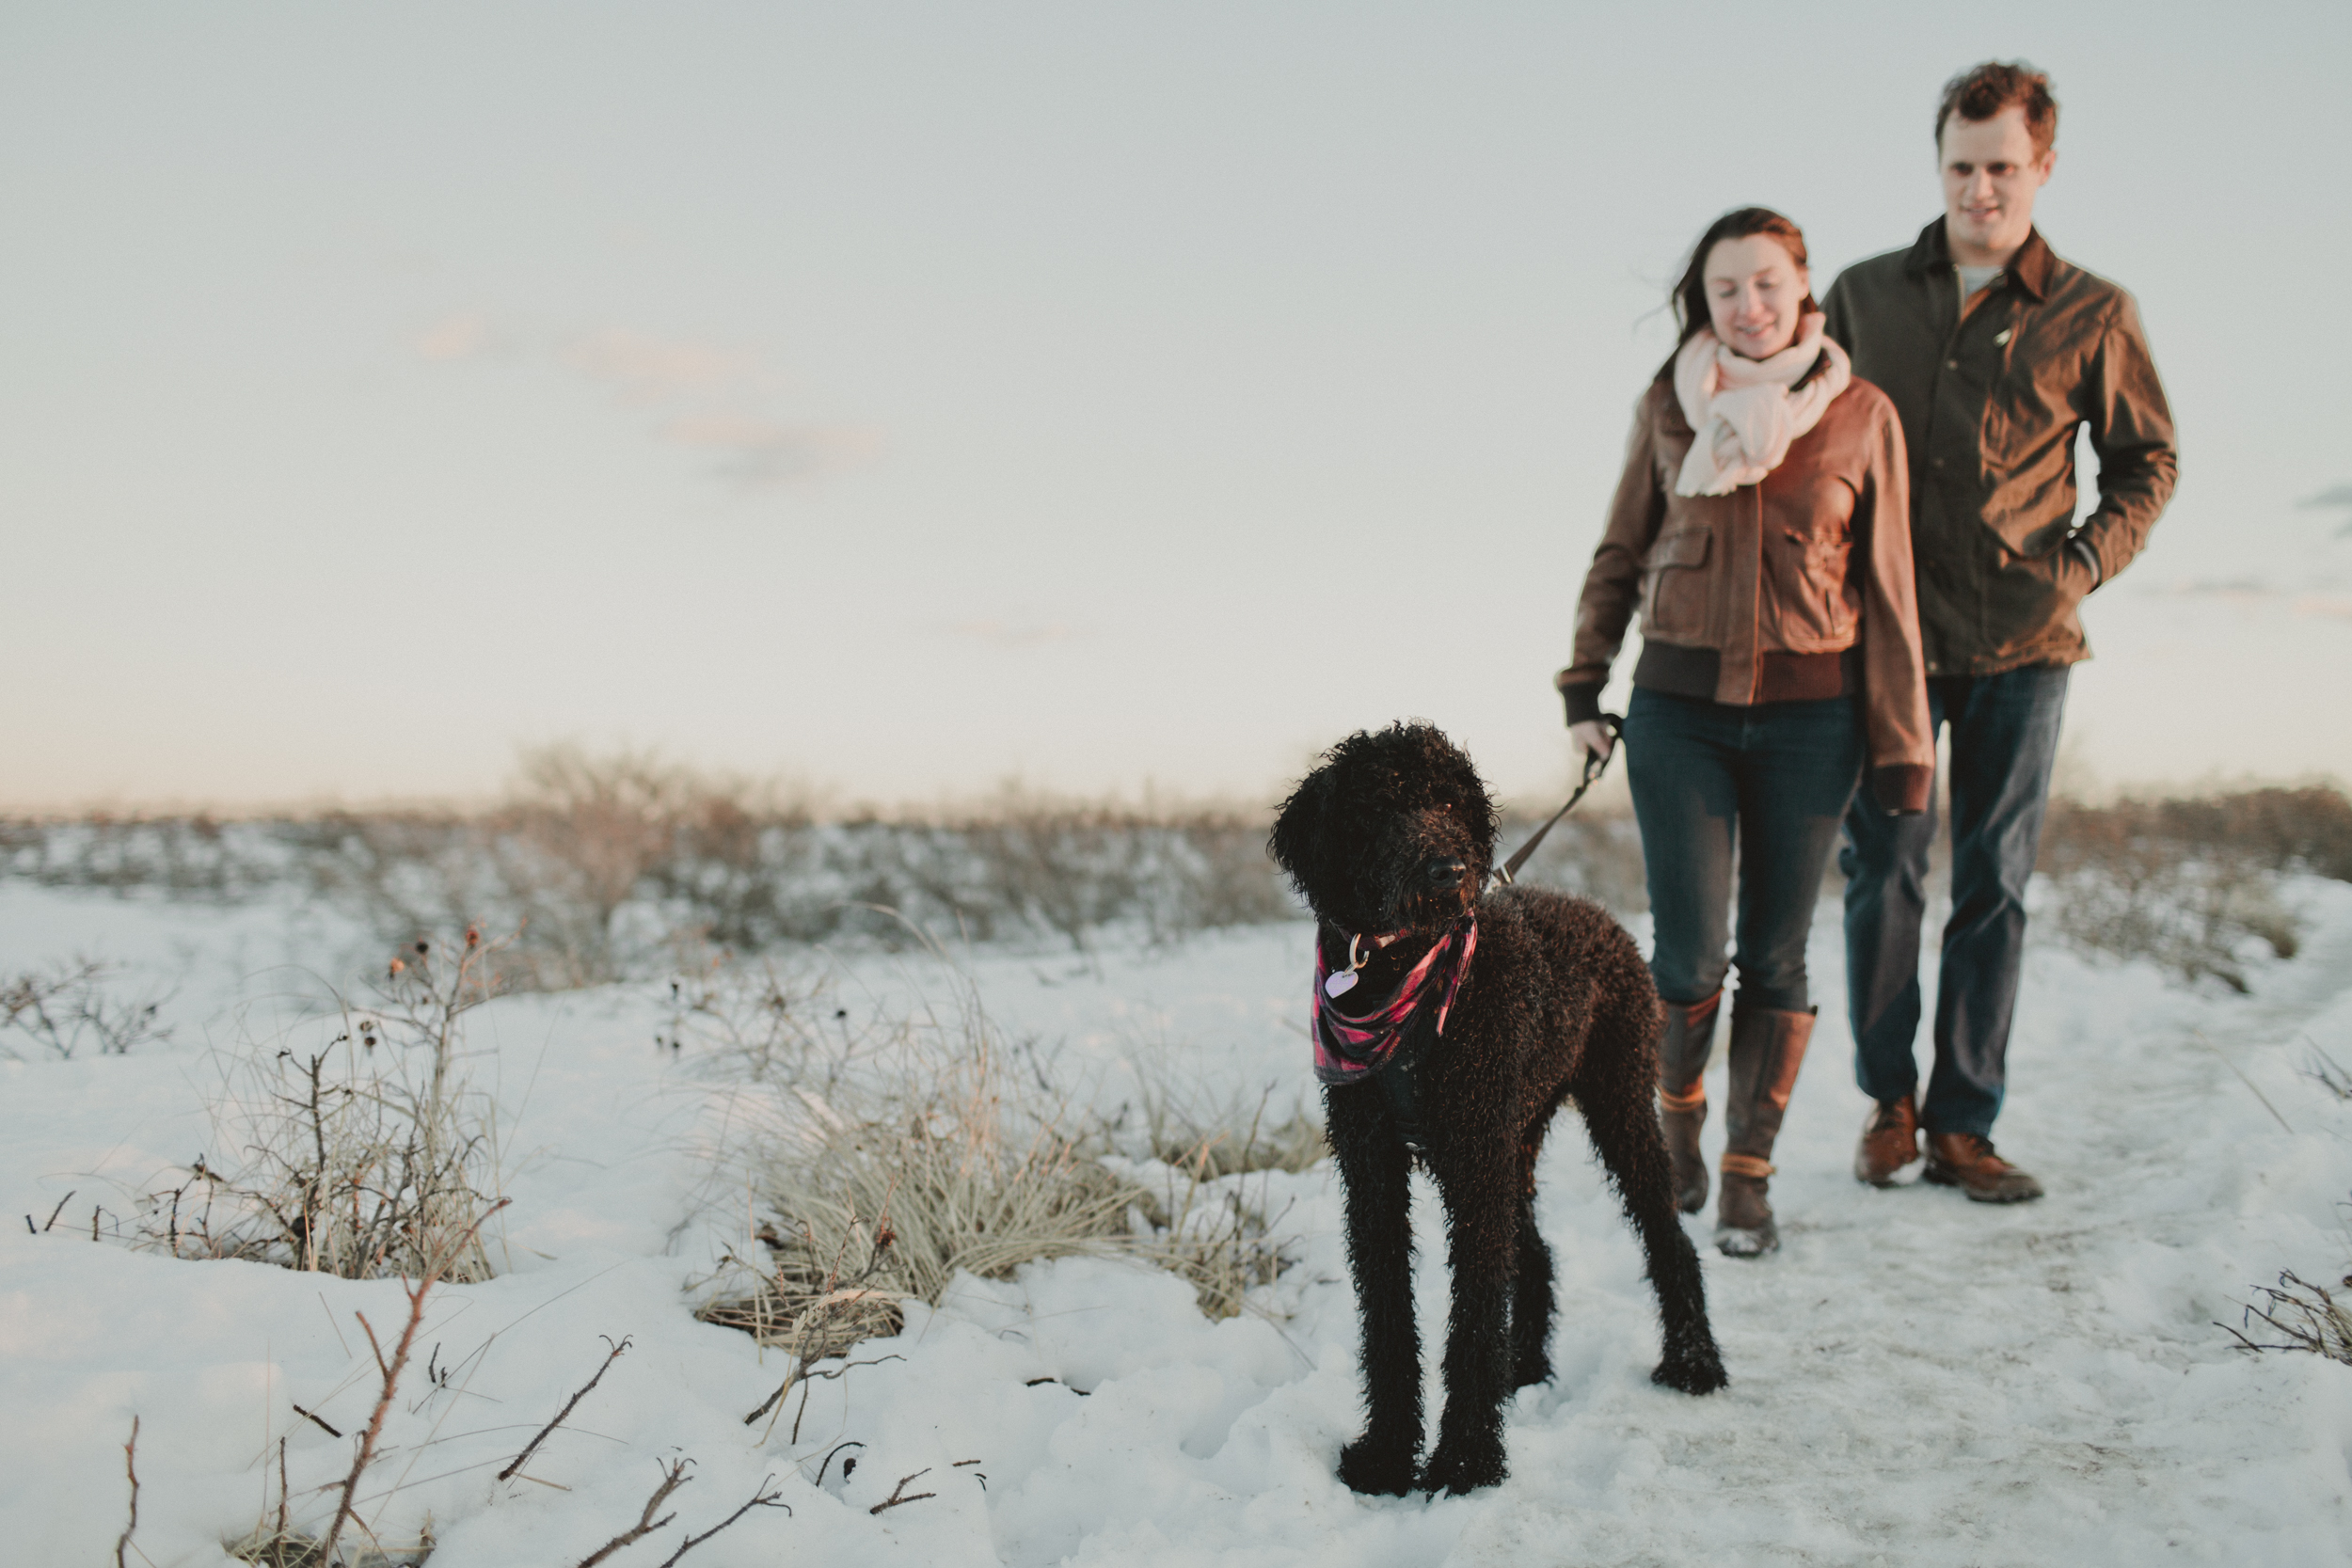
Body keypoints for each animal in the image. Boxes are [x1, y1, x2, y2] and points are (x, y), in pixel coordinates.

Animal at [1270, 723, 1731, 1495]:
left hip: (1615, 1105)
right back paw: (1525, 1369)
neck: (1401, 975)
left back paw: (1693, 1360)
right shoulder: (1373, 1163)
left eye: (1451, 801)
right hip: (1514, 1137)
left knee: (1668, 1237)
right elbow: (1387, 1309)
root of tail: (1597, 913)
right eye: (1382, 805)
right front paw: (1388, 1453)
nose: (1448, 871)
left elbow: (1475, 1312)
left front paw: (1463, 1460)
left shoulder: (1473, 1154)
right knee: (1535, 1252)